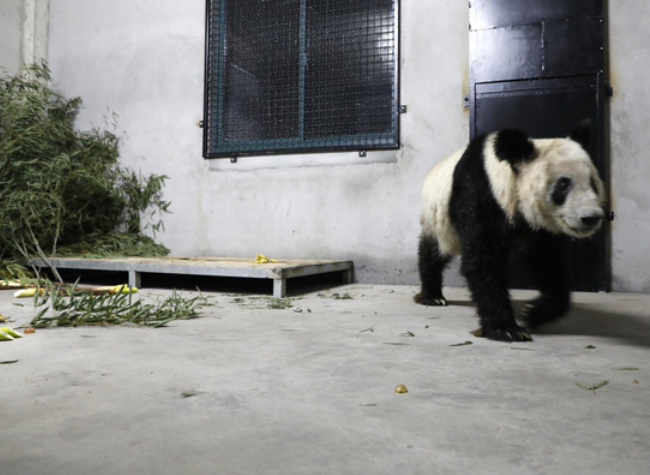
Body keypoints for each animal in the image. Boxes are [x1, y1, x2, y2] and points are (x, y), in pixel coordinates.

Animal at [415, 122, 606, 342]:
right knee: (433, 252)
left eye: (593, 182)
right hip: (439, 220)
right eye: (563, 184)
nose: (591, 217)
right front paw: (506, 329)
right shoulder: (480, 193)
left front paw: (534, 312)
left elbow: (548, 261)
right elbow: (483, 260)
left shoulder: (542, 226)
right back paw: (433, 296)